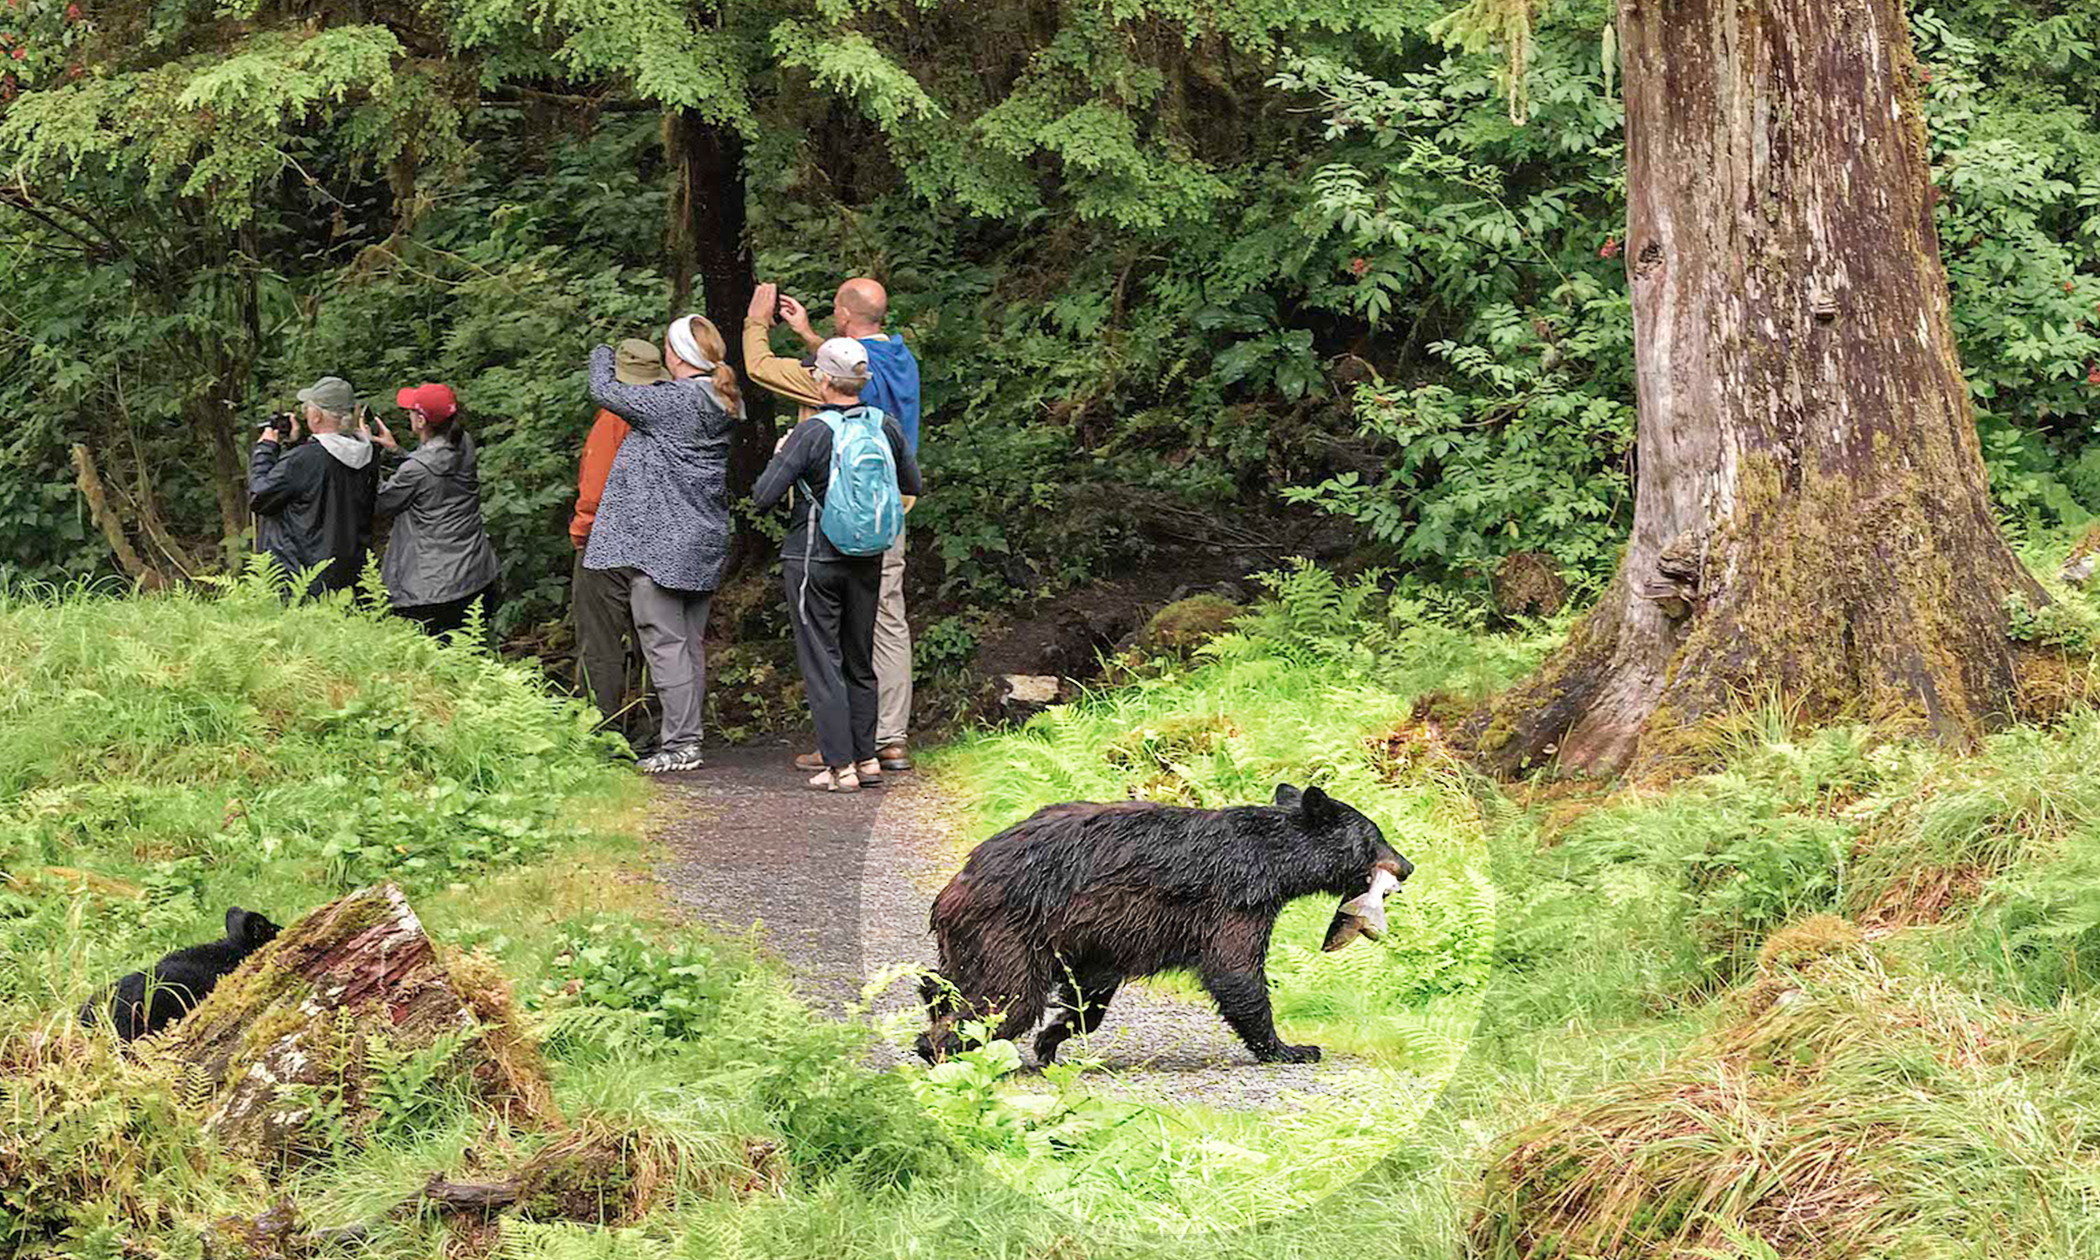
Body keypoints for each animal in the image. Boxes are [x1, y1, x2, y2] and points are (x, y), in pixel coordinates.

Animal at [916, 784, 1412, 1067]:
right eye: (1376, 835)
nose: (1407, 866)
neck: (1273, 860)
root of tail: (956, 883)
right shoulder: (1235, 901)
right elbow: (1235, 972)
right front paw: (1291, 1048)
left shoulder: (1101, 935)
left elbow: (1091, 993)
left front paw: (1053, 1039)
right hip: (1009, 929)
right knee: (1008, 999)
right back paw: (936, 1044)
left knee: (953, 982)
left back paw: (930, 1000)